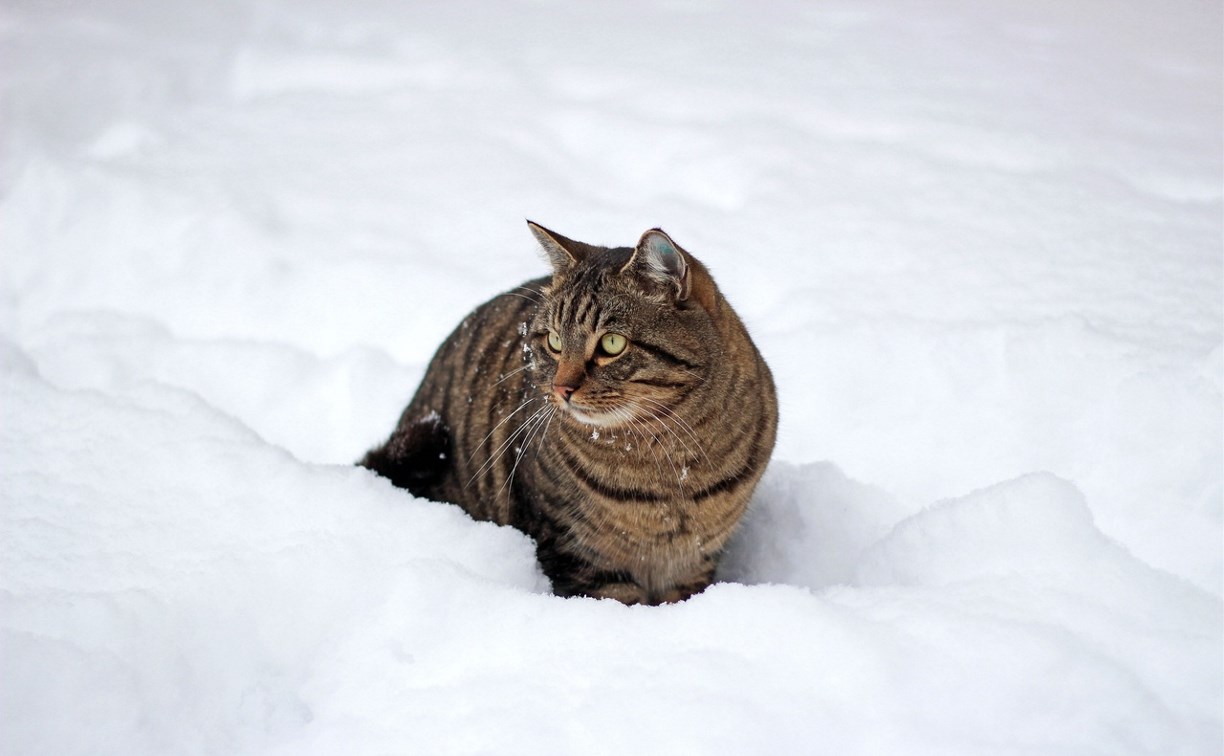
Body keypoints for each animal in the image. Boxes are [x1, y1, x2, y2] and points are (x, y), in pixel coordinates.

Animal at [362, 220, 778, 604]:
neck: (667, 465)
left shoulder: (696, 560)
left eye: (612, 343)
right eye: (554, 341)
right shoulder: (578, 553)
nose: (562, 389)